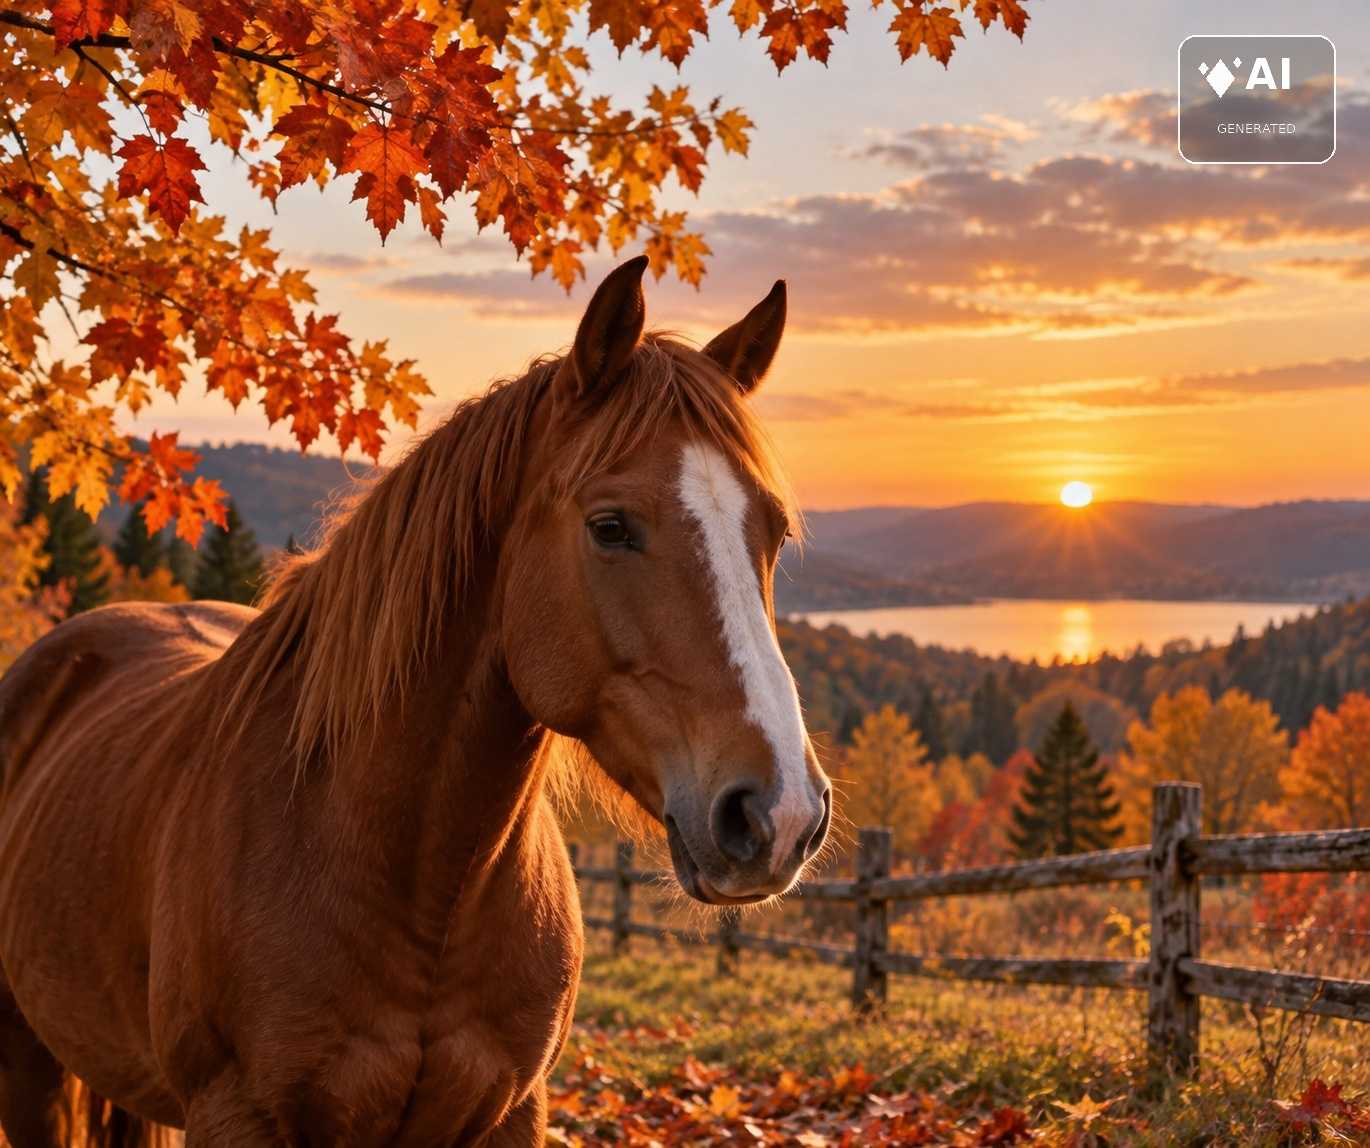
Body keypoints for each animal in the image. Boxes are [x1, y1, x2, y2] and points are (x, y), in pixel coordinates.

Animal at [0, 256, 832, 1147]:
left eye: (774, 532)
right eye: (610, 526)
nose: (780, 813)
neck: (420, 884)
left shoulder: (512, 1112)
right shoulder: (236, 1114)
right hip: (32, 1068)